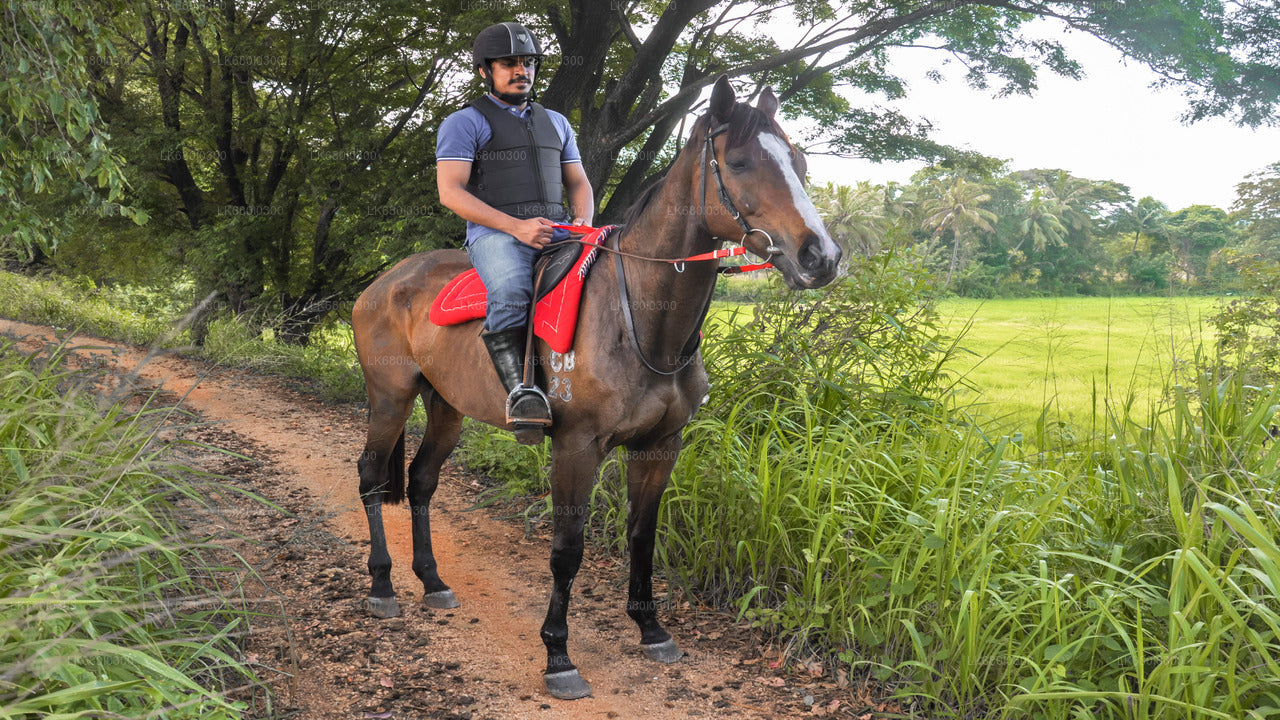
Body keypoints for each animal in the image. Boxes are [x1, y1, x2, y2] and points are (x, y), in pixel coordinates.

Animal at [350, 75, 844, 696]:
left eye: (798, 163)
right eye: (739, 162)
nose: (821, 256)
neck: (641, 321)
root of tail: (385, 281)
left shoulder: (660, 447)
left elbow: (641, 536)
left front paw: (651, 629)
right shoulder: (575, 446)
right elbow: (567, 550)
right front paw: (558, 655)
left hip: (446, 407)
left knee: (420, 481)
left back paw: (433, 581)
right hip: (390, 397)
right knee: (372, 475)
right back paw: (382, 586)